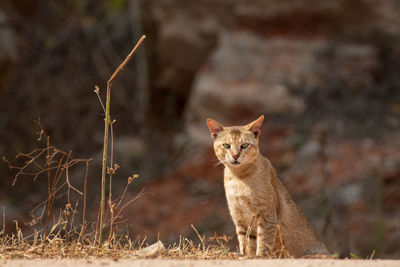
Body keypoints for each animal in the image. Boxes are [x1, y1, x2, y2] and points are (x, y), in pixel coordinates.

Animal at [206, 116, 328, 258]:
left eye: (244, 145)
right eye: (226, 145)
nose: (235, 156)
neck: (239, 177)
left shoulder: (266, 216)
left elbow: (263, 241)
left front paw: (259, 256)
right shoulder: (240, 218)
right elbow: (246, 242)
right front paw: (246, 256)